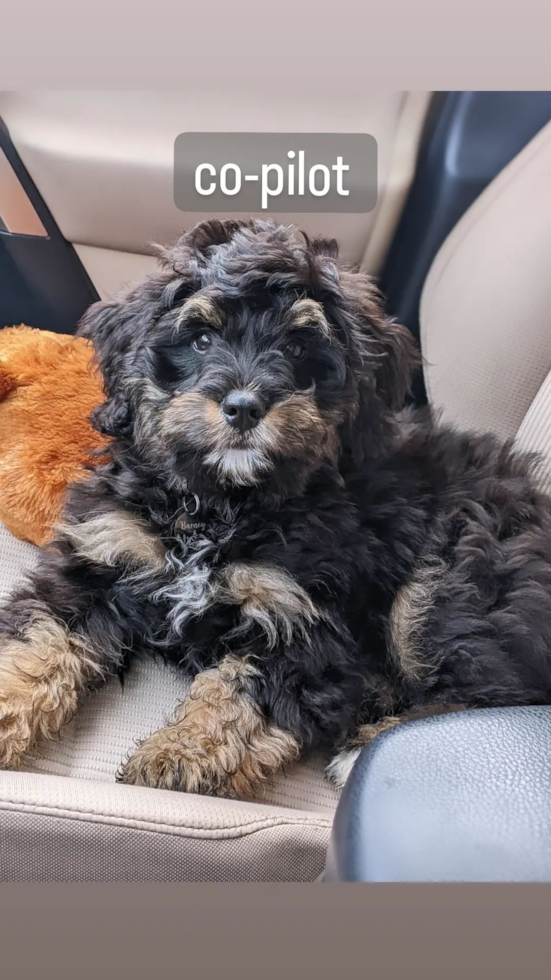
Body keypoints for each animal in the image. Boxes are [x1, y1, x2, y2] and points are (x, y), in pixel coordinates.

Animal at [1, 218, 551, 792]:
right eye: (201, 339)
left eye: (296, 349)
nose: (243, 406)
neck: (221, 505)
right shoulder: (105, 553)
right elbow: (39, 641)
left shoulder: (304, 619)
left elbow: (239, 698)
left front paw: (175, 760)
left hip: (455, 576)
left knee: (494, 690)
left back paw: (367, 743)